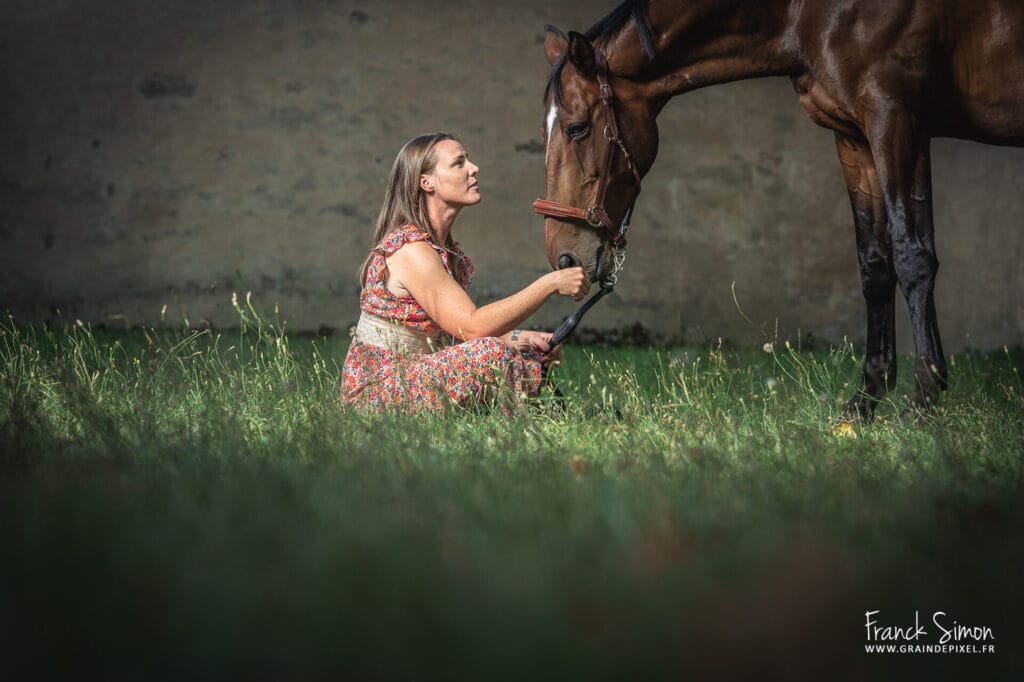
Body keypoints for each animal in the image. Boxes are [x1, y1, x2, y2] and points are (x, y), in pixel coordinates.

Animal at [535, 0, 1024, 419]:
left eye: (577, 128)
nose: (563, 257)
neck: (809, 17)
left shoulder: (899, 121)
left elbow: (913, 257)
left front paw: (923, 398)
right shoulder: (854, 137)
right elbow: (875, 265)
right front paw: (866, 400)